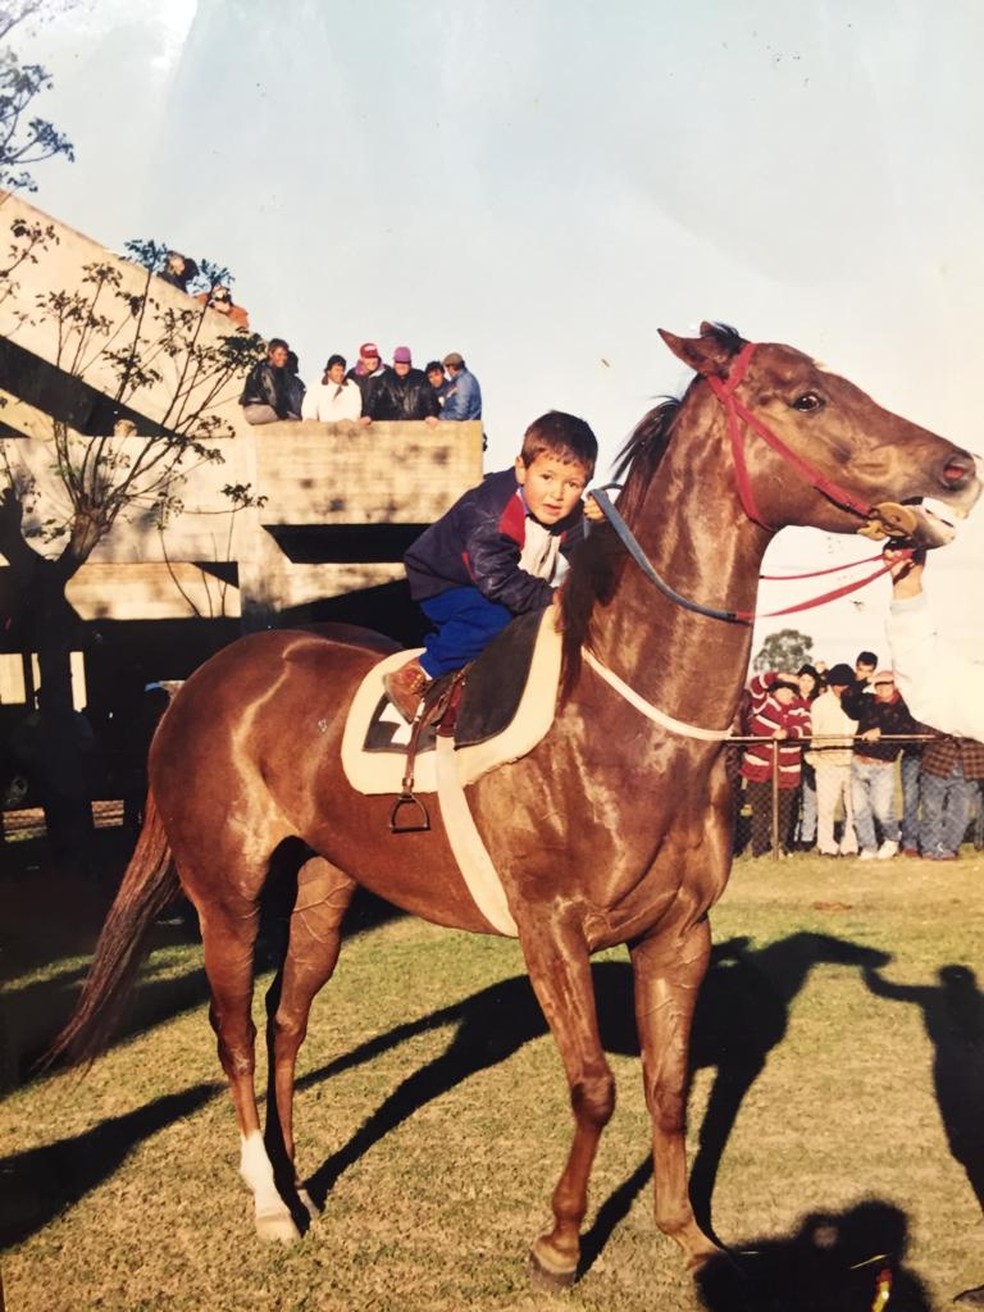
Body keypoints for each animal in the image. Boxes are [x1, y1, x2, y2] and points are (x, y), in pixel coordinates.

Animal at [57, 322, 981, 1285]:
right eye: (806, 397)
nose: (958, 466)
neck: (624, 717)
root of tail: (199, 681)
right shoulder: (552, 928)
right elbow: (595, 1086)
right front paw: (562, 1238)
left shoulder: (680, 935)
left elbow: (667, 1088)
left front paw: (687, 1234)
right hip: (226, 893)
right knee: (234, 1029)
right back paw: (270, 1201)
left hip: (325, 887)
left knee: (287, 1021)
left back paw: (298, 1177)